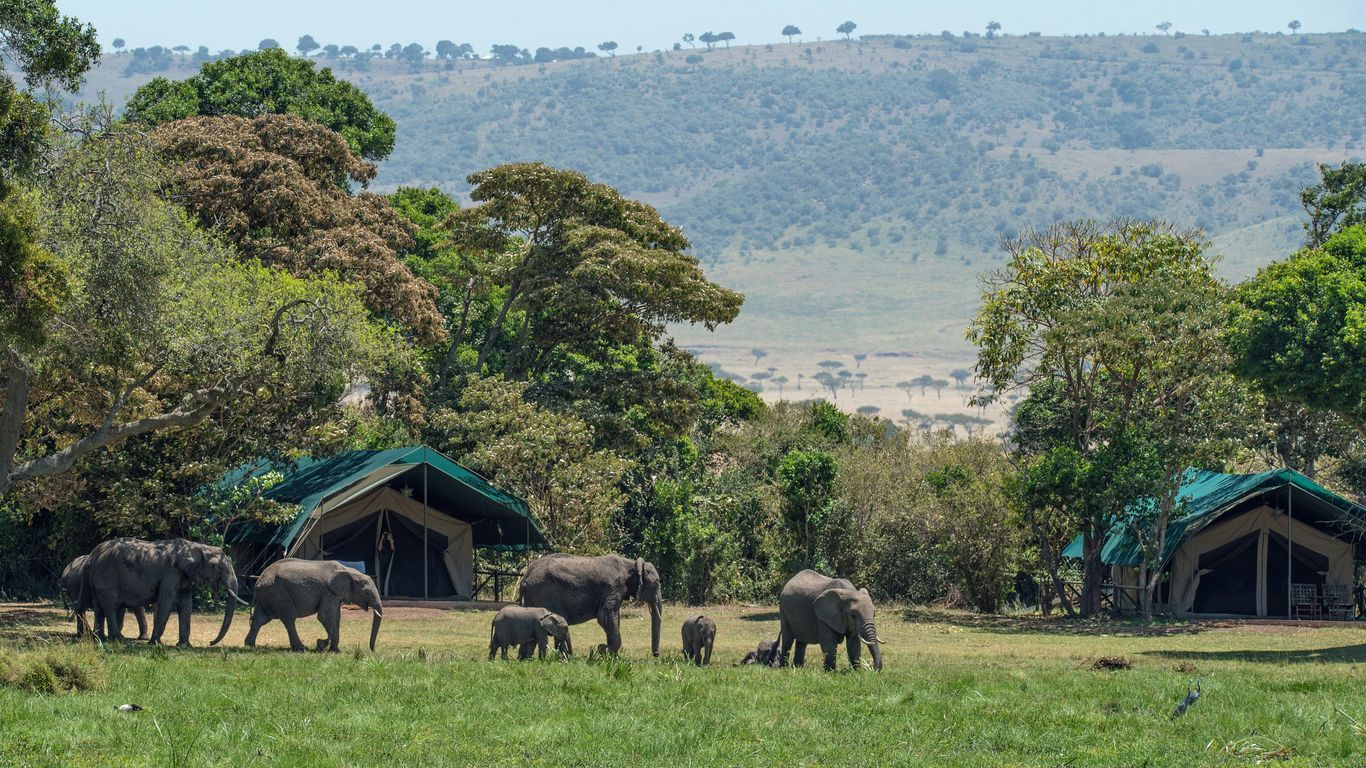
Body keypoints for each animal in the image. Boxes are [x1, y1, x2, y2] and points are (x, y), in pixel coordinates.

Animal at [84, 537, 244, 646]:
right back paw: (118, 640)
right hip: (106, 579)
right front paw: (155, 643)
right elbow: (166, 603)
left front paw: (184, 646)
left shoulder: (184, 576)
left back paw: (101, 639)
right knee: (110, 607)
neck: (195, 546)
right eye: (218, 567)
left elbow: (186, 606)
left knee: (99, 608)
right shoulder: (171, 574)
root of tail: (93, 556)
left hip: (96, 581)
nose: (210, 642)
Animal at [244, 559, 383, 652]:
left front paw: (333, 649)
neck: (348, 570)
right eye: (366, 593)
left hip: (268, 596)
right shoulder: (328, 591)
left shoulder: (334, 593)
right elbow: (325, 616)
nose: (372, 650)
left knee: (259, 620)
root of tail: (259, 581)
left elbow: (336, 617)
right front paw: (325, 645)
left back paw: (249, 645)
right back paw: (300, 648)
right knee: (289, 619)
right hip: (278, 593)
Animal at [519, 553, 662, 657]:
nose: (656, 655)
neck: (631, 564)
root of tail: (524, 579)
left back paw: (525, 659)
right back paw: (564, 659)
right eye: (657, 583)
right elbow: (605, 616)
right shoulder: (613, 588)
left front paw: (612, 656)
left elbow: (614, 617)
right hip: (545, 592)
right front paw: (603, 650)